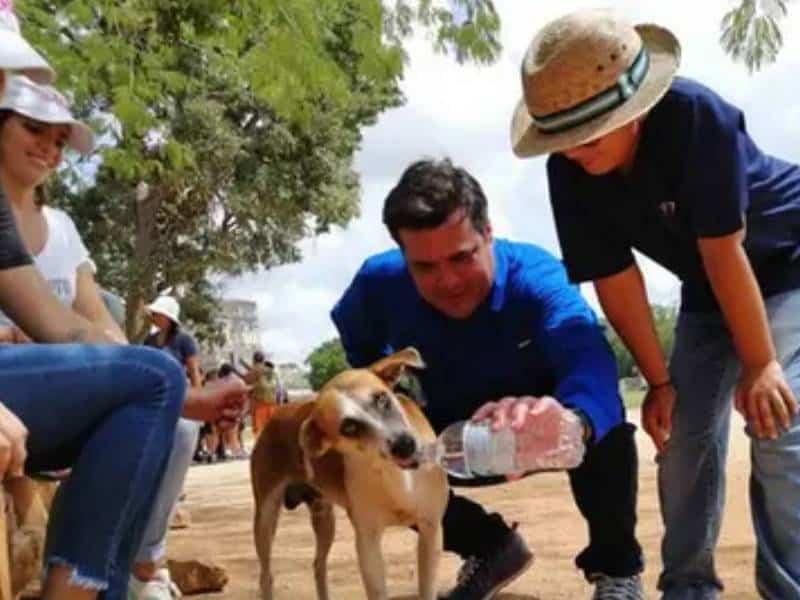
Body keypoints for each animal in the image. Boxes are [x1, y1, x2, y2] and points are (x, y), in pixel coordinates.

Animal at [252, 346, 450, 600]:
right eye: (349, 427)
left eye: (382, 398)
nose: (405, 445)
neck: (394, 478)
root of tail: (278, 412)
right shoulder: (367, 541)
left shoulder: (430, 529)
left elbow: (427, 588)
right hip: (265, 517)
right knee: (266, 575)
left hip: (324, 517)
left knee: (318, 565)